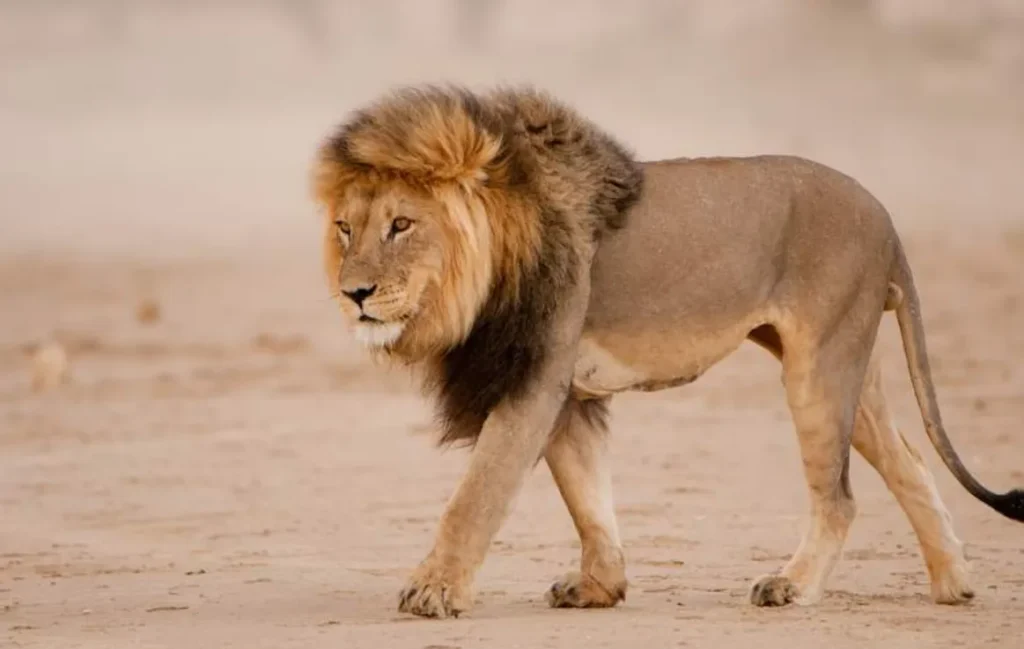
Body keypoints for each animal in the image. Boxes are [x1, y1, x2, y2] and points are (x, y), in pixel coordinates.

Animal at [310, 84, 1023, 619]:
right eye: (345, 228)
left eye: (402, 225)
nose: (354, 294)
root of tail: (886, 215)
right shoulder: (565, 390)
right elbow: (587, 497)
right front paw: (599, 586)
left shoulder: (534, 379)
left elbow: (476, 494)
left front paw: (434, 590)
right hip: (852, 363)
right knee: (911, 464)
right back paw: (955, 583)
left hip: (818, 366)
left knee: (840, 496)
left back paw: (793, 586)